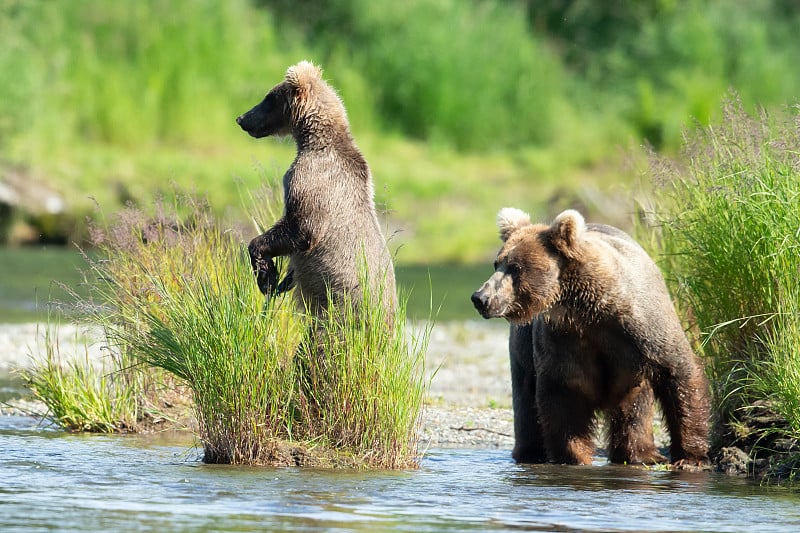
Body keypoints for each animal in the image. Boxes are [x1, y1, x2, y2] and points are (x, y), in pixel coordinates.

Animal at [236, 61, 398, 320]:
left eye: (268, 97)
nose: (242, 118)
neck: (314, 139)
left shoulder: (310, 178)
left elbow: (302, 227)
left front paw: (265, 275)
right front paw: (282, 279)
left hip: (341, 302)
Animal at [468, 208, 708, 466]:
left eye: (515, 267)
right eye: (497, 263)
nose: (480, 297)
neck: (588, 309)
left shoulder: (642, 327)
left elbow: (679, 371)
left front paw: (690, 457)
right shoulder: (564, 339)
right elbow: (562, 398)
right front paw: (574, 456)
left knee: (635, 408)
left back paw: (641, 454)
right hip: (523, 344)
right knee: (525, 395)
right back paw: (529, 453)